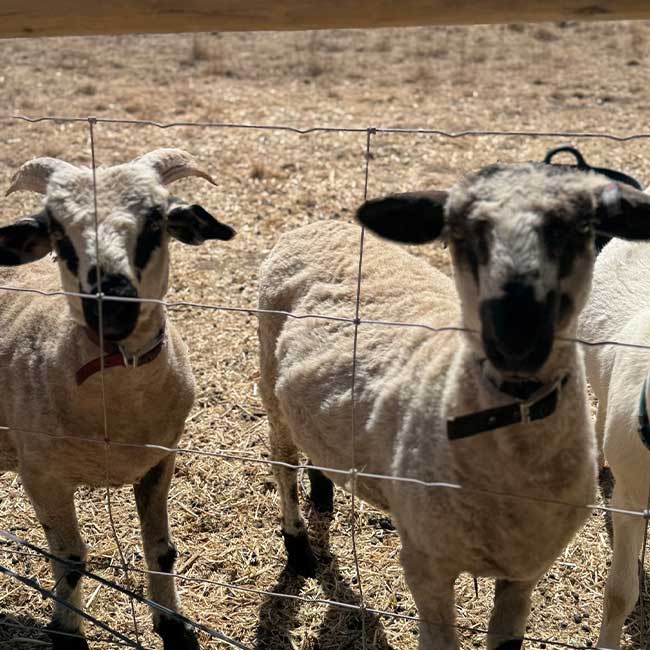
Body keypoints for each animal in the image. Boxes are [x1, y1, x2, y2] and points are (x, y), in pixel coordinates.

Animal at [0, 149, 236, 650]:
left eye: (157, 220)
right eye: (56, 230)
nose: (112, 304)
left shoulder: (160, 460)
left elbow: (162, 550)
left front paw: (173, 623)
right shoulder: (42, 475)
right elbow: (70, 560)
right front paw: (67, 630)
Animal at [257, 162, 650, 650]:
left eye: (583, 227)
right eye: (458, 232)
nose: (515, 331)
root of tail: (317, 225)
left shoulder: (525, 568)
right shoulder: (427, 563)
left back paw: (324, 493)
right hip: (269, 374)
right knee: (282, 461)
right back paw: (299, 549)